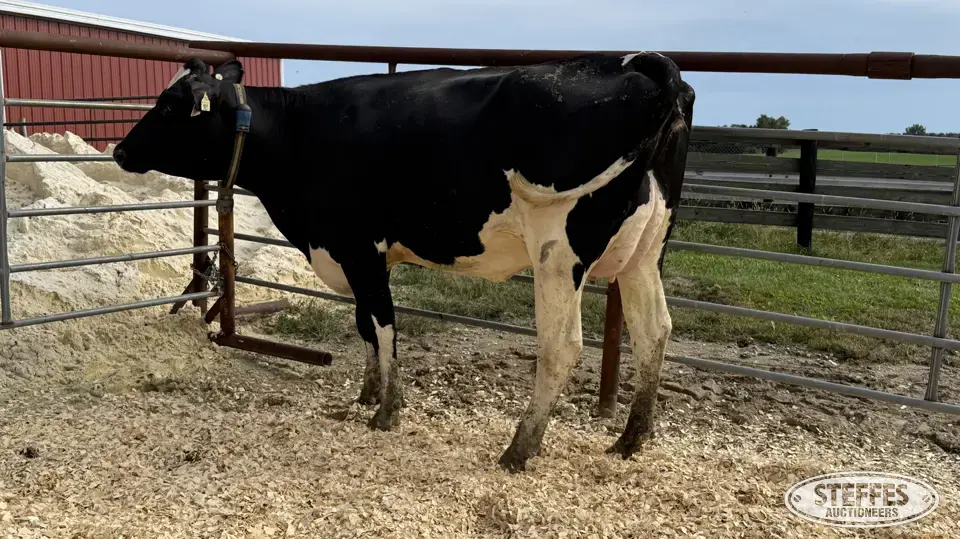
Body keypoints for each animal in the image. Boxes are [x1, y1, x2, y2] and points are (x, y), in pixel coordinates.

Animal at [112, 51, 695, 473]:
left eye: (169, 106)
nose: (119, 150)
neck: (301, 135)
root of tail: (643, 64)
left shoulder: (357, 247)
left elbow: (385, 324)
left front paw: (387, 410)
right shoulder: (358, 253)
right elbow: (365, 324)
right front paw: (368, 393)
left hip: (559, 247)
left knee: (563, 345)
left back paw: (519, 449)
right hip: (646, 251)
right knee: (654, 331)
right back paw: (630, 440)